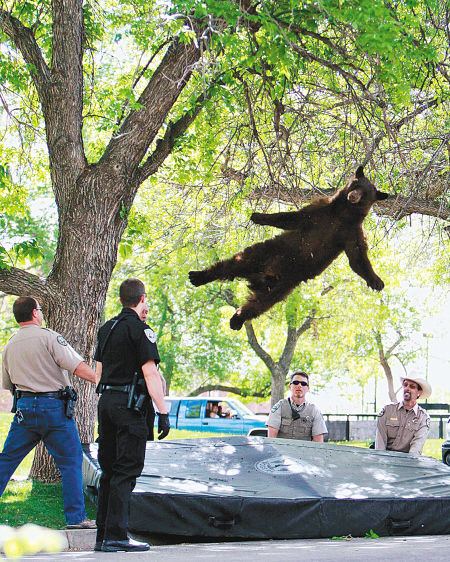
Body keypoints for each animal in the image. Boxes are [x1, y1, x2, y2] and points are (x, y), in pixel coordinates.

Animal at [188, 164, 388, 328]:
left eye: (365, 195)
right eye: (356, 185)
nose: (353, 196)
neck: (342, 214)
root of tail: (260, 277)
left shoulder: (351, 232)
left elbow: (357, 257)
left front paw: (376, 281)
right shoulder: (320, 212)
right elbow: (292, 218)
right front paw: (258, 216)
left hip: (284, 285)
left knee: (259, 304)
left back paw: (237, 319)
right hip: (264, 253)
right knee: (231, 264)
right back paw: (199, 276)